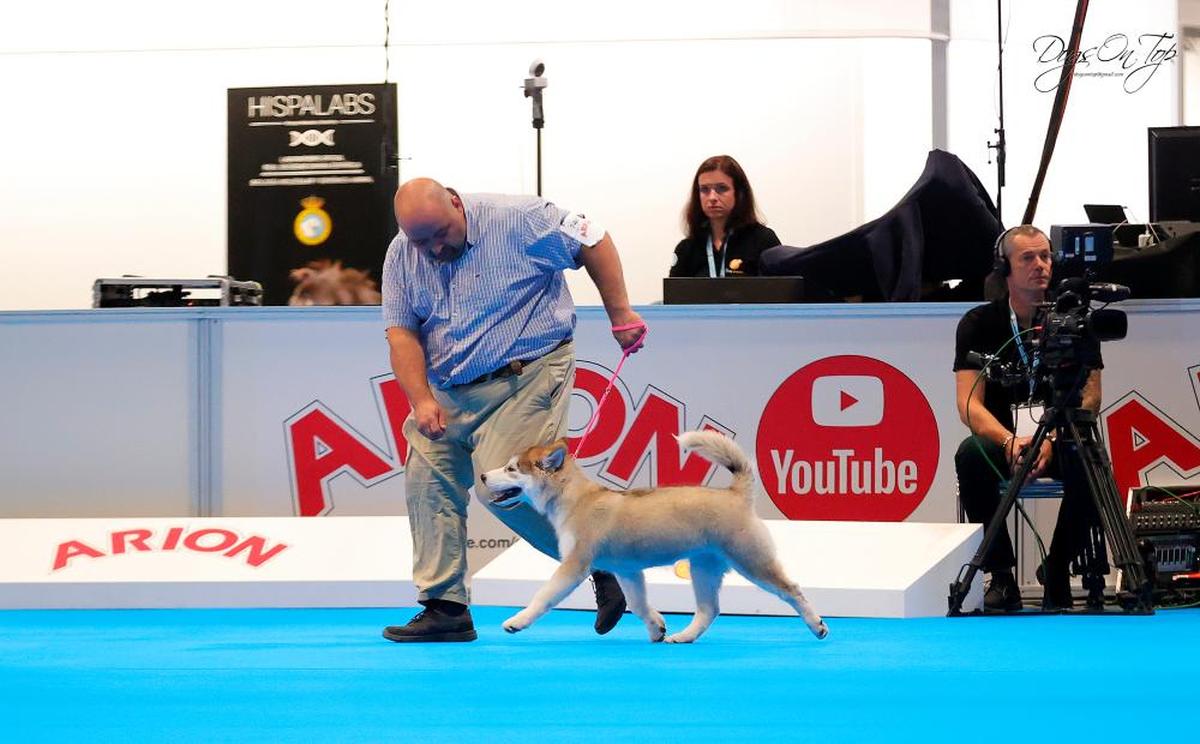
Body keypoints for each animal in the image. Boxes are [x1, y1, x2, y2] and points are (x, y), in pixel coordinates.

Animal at [477, 429, 825, 643]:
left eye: (511, 469)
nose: (481, 475)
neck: (576, 499)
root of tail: (736, 493)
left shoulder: (574, 566)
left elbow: (543, 596)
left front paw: (518, 621)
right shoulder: (628, 571)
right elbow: (638, 603)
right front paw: (656, 626)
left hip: (751, 560)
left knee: (792, 590)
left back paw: (817, 625)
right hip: (703, 568)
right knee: (709, 610)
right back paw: (684, 637)